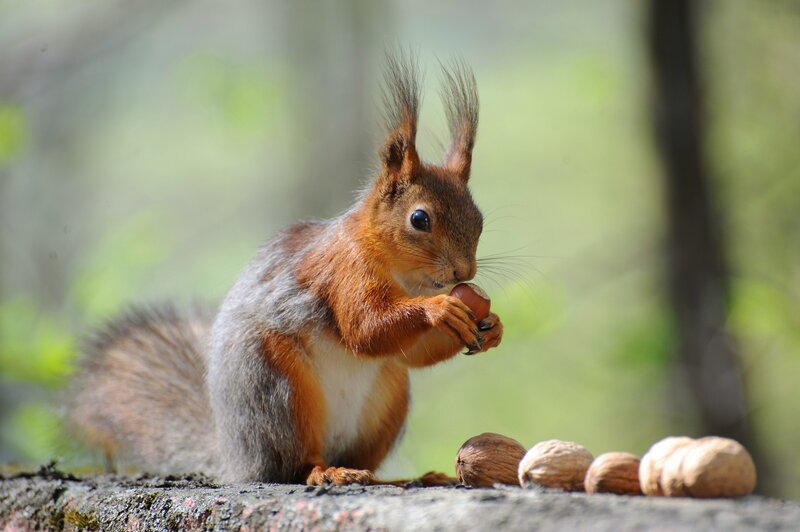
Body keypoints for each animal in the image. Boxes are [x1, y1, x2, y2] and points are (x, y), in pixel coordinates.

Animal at [70, 52, 503, 486]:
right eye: (419, 219)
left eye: (480, 219)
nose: (464, 274)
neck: (404, 276)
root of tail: (237, 457)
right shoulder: (342, 272)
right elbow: (365, 328)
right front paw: (440, 309)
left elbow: (410, 351)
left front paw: (492, 326)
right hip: (279, 390)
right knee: (293, 465)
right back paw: (326, 472)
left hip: (388, 395)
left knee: (366, 454)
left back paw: (402, 477)